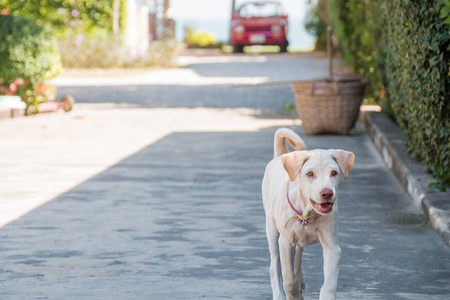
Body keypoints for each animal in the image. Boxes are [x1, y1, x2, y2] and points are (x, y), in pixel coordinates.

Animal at [260, 128, 356, 300]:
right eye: (310, 174)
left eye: (334, 173)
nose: (327, 193)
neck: (307, 213)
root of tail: (279, 156)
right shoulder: (285, 243)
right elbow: (288, 279)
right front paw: (295, 295)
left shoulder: (332, 247)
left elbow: (329, 285)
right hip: (271, 229)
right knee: (274, 264)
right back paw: (279, 293)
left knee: (298, 253)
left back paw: (299, 277)